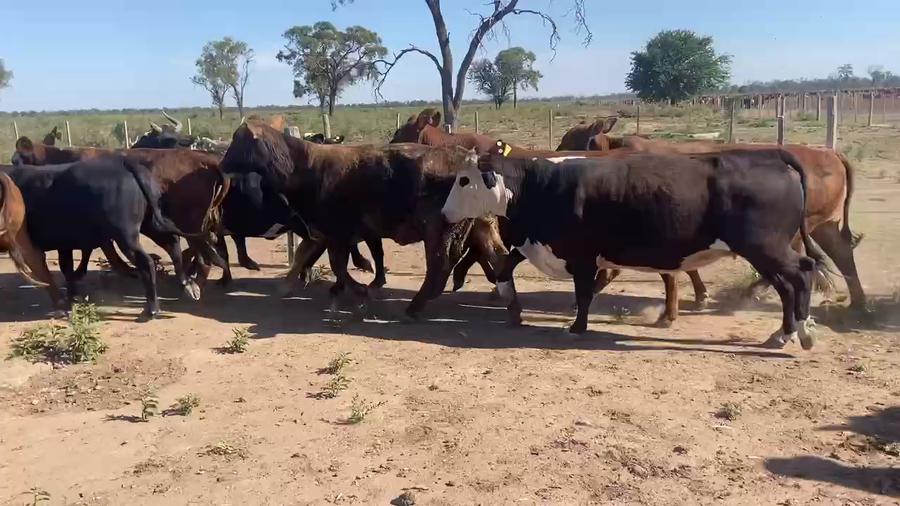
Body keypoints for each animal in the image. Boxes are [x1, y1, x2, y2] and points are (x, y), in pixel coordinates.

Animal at [9, 139, 229, 298]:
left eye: (16, 160)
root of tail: (207, 159)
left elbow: (103, 250)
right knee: (193, 246)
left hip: (190, 221)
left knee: (203, 253)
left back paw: (193, 283)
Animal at [219, 116, 505, 314]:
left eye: (238, 140)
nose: (221, 165)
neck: (307, 165)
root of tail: (471, 160)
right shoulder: (333, 232)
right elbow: (321, 258)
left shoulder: (336, 231)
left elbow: (338, 264)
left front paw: (358, 288)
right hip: (482, 224)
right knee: (496, 255)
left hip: (441, 230)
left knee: (441, 265)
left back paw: (415, 305)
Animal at [441, 148, 826, 350]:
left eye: (464, 179)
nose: (444, 212)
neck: (540, 185)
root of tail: (771, 155)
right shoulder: (535, 243)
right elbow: (505, 269)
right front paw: (513, 306)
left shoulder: (582, 256)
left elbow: (583, 294)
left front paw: (577, 327)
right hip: (766, 252)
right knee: (788, 285)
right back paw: (782, 333)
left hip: (766, 248)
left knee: (802, 275)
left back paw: (800, 333)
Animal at [556, 122, 865, 315]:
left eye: (568, 139)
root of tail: (827, 151)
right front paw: (700, 295)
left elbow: (612, 270)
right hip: (823, 225)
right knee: (841, 253)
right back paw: (857, 302)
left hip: (790, 232)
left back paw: (750, 293)